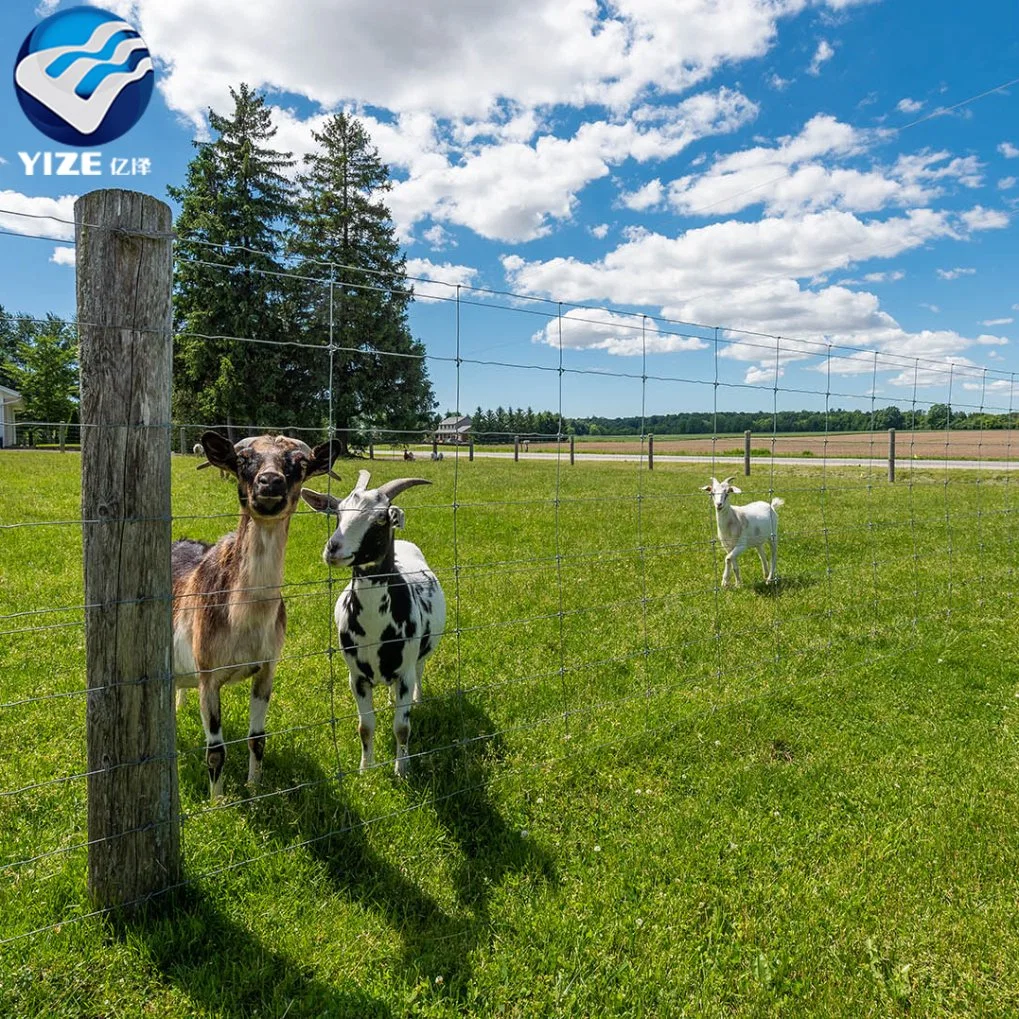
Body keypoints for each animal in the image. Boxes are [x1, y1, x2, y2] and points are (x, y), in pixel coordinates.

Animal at [173, 430, 336, 794]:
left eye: (299, 463)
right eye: (243, 460)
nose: (270, 482)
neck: (243, 623)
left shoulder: (267, 667)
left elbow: (257, 738)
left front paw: (254, 788)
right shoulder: (208, 673)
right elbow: (215, 750)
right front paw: (218, 799)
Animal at [301, 470, 446, 778]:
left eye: (380, 518)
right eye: (338, 512)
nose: (333, 549)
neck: (375, 628)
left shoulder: (405, 673)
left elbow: (402, 727)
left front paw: (402, 770)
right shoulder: (356, 678)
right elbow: (365, 727)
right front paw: (366, 770)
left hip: (420, 657)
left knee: (420, 672)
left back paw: (417, 699)